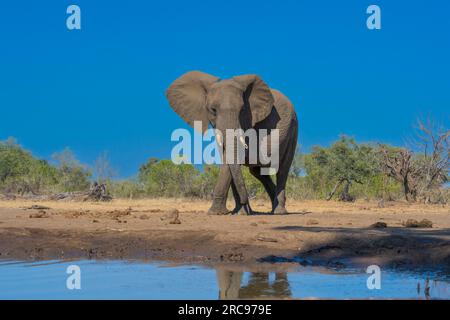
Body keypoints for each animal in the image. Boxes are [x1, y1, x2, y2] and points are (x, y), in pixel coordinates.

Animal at [165, 70, 298, 215]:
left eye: (243, 110)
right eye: (213, 110)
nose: (247, 200)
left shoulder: (246, 122)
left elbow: (232, 159)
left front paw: (216, 212)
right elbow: (227, 158)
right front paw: (238, 212)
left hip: (292, 130)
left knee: (283, 169)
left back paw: (279, 211)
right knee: (257, 171)